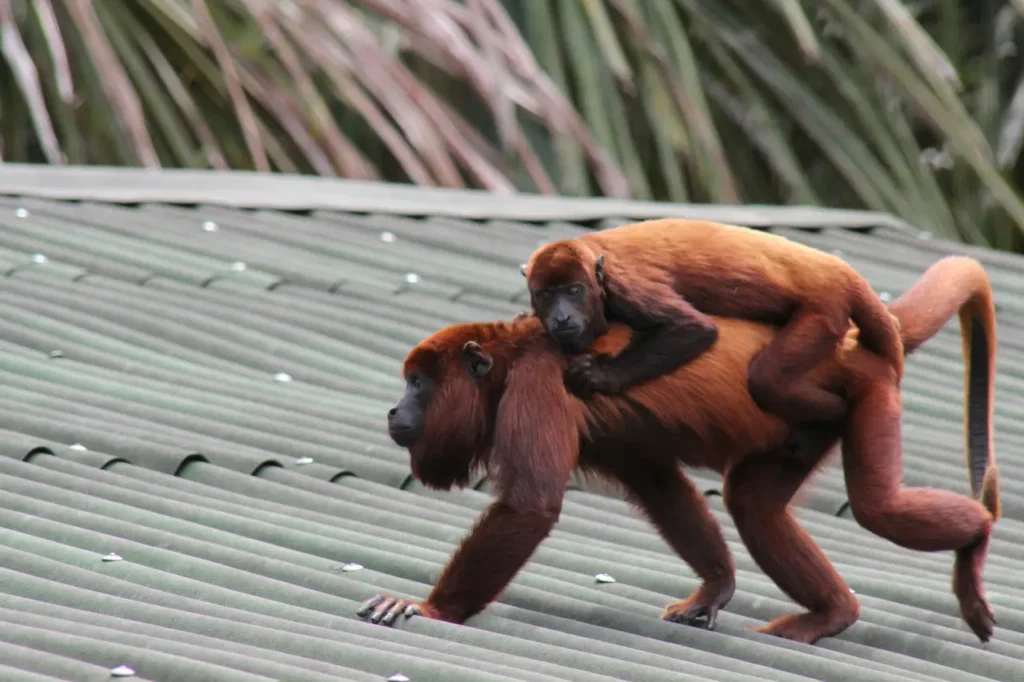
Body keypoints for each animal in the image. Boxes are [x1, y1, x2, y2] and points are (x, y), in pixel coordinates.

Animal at [360, 256, 999, 646]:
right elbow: (655, 481)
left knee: (875, 505)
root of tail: (851, 340)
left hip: (868, 390)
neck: (509, 358)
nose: (393, 411)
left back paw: (977, 539)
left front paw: (431, 610)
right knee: (752, 503)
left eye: (417, 383)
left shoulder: (537, 384)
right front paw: (717, 584)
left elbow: (531, 504)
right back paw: (833, 613)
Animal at [520, 218, 905, 427]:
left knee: (767, 379)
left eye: (573, 291)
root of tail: (837, 269)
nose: (562, 316)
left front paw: (602, 375)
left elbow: (693, 328)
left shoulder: (626, 285)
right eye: (546, 295)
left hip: (824, 309)